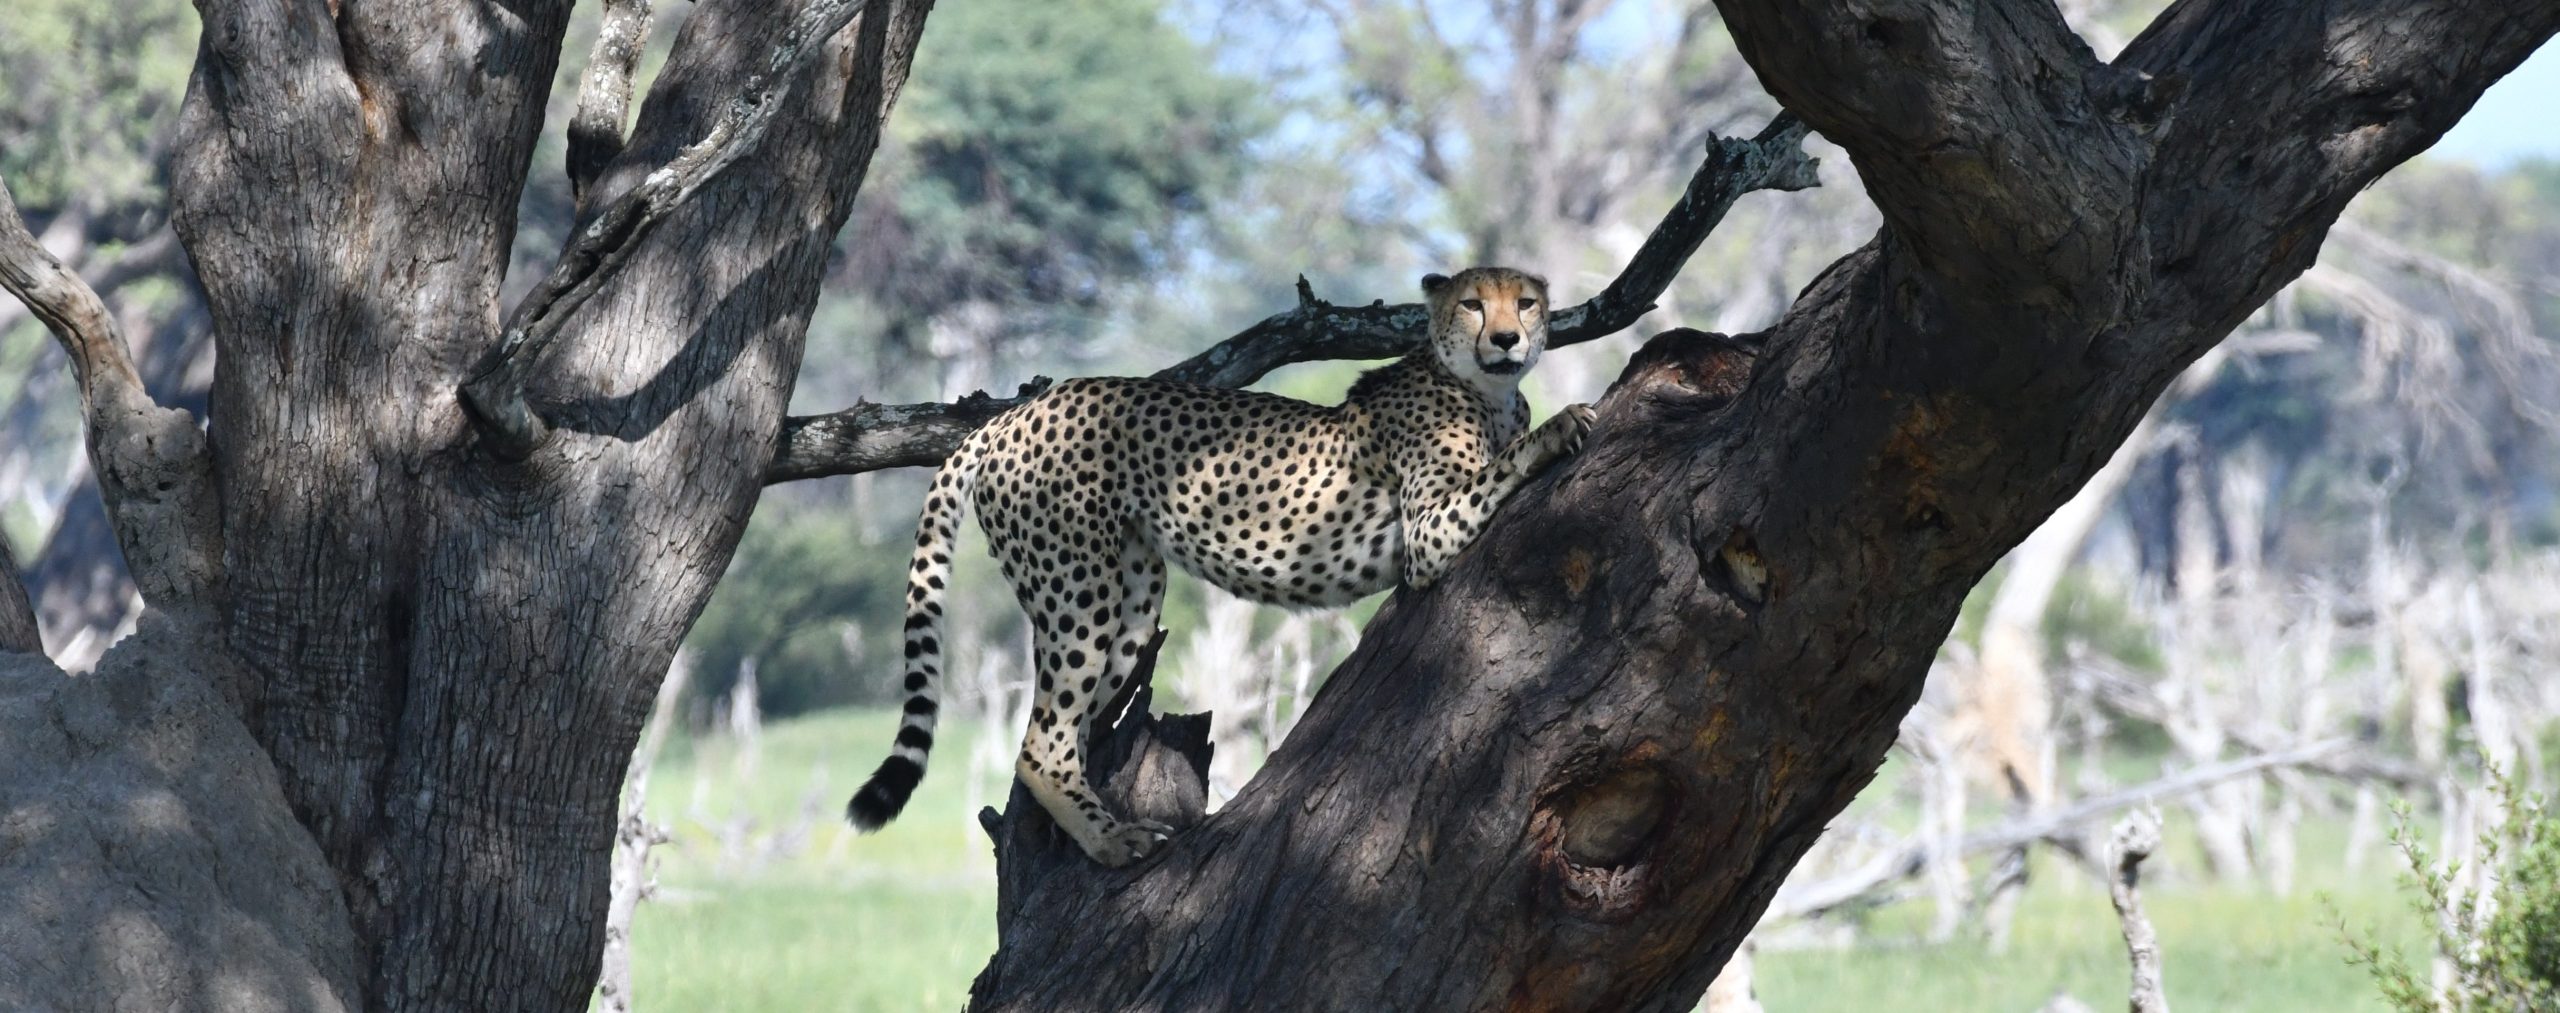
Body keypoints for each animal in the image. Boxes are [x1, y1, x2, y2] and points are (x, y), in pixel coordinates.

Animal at [845, 266, 1597, 867]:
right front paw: (1561, 425)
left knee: (1068, 724)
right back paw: (1112, 840)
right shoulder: (1427, 533)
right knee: (1040, 742)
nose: (1508, 339)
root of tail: (1012, 412)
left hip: (1131, 599)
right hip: (1079, 588)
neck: (1485, 390)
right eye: (1472, 304)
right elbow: (1503, 466)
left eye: (1525, 302)